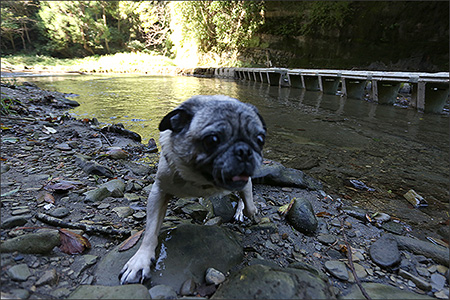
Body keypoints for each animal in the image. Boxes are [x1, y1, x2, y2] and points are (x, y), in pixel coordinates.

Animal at [119, 95, 268, 284]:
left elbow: (249, 204)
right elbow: (150, 232)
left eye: (260, 140)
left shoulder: (245, 182)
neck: (201, 181)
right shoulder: (158, 192)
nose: (244, 150)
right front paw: (140, 260)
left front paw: (247, 211)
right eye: (212, 140)